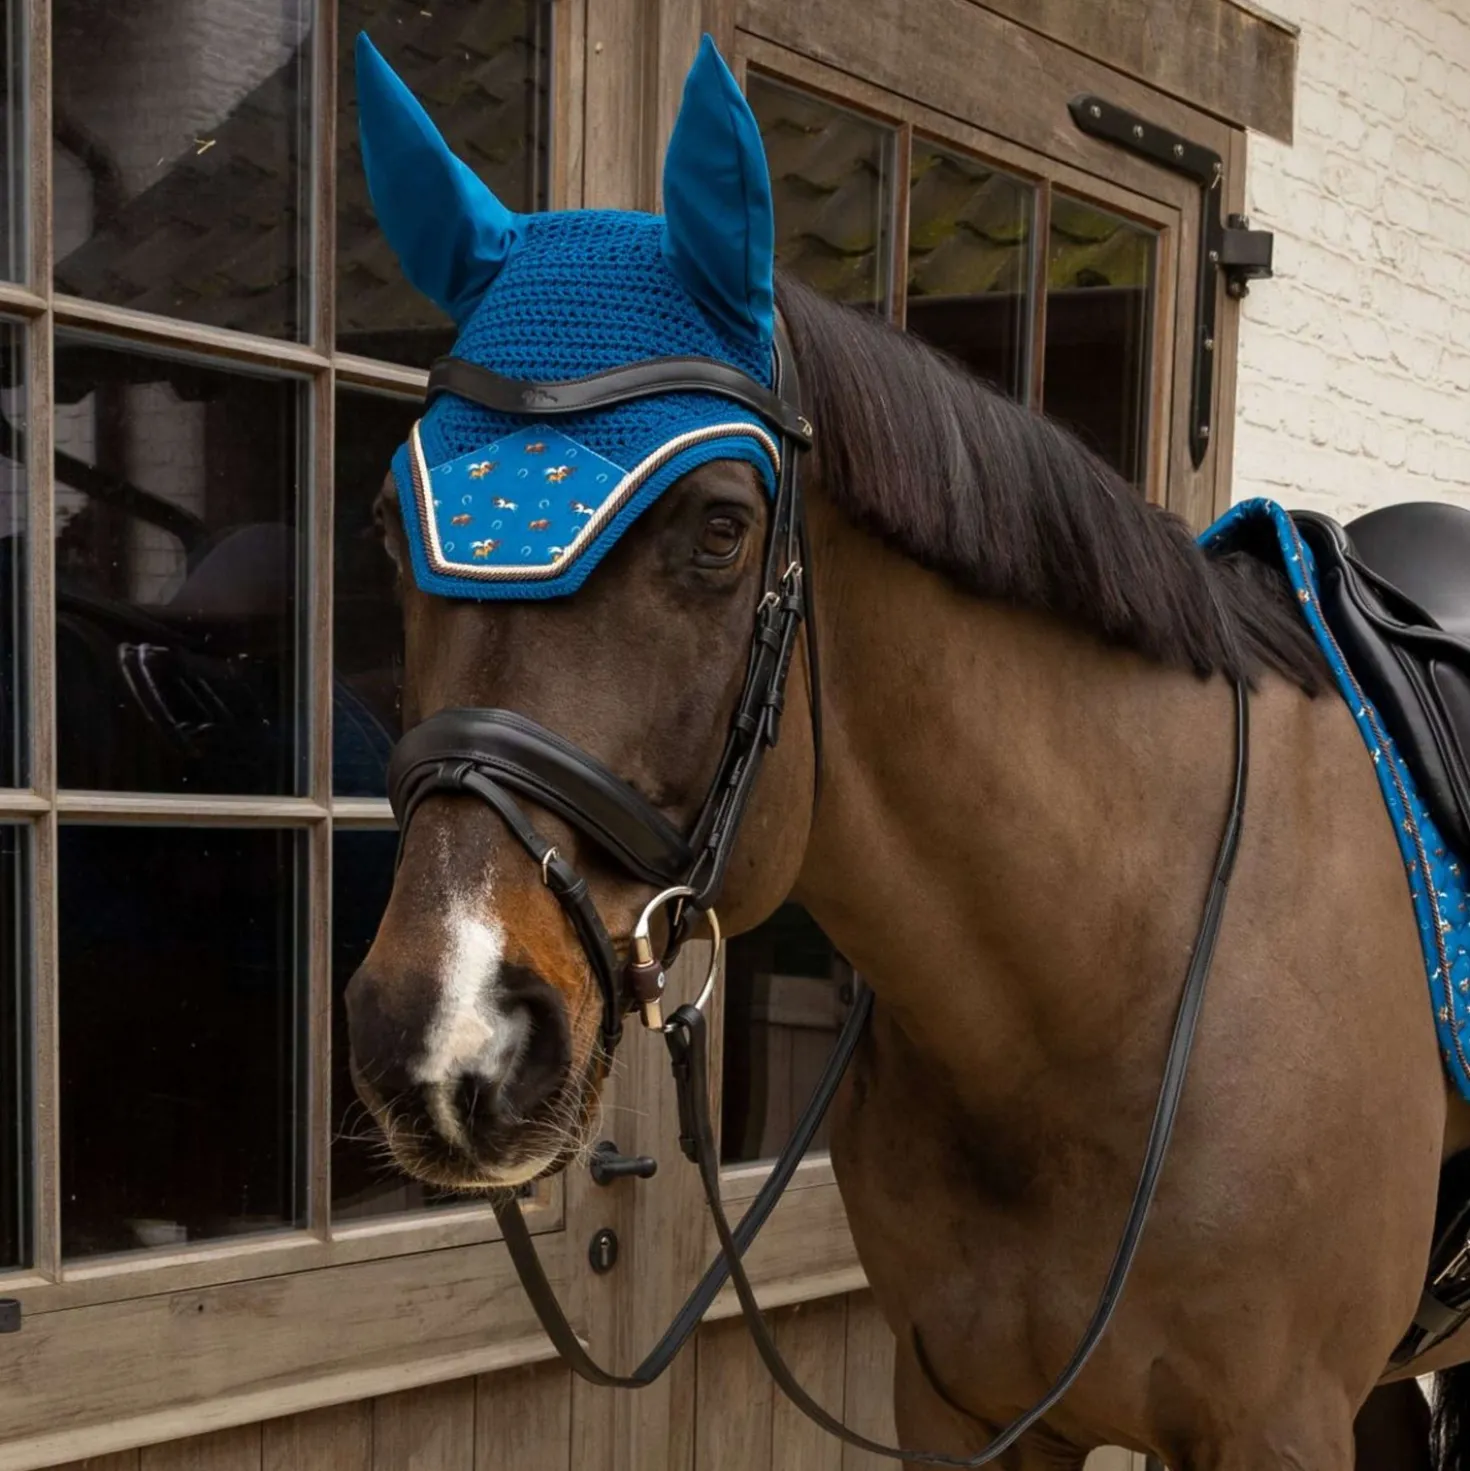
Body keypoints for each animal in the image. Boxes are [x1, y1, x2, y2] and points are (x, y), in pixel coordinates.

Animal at [342, 33, 1470, 1470]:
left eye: (720, 527)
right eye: (388, 523)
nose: (444, 1032)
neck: (1111, 980)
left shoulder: (1275, 1427)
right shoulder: (957, 1402)